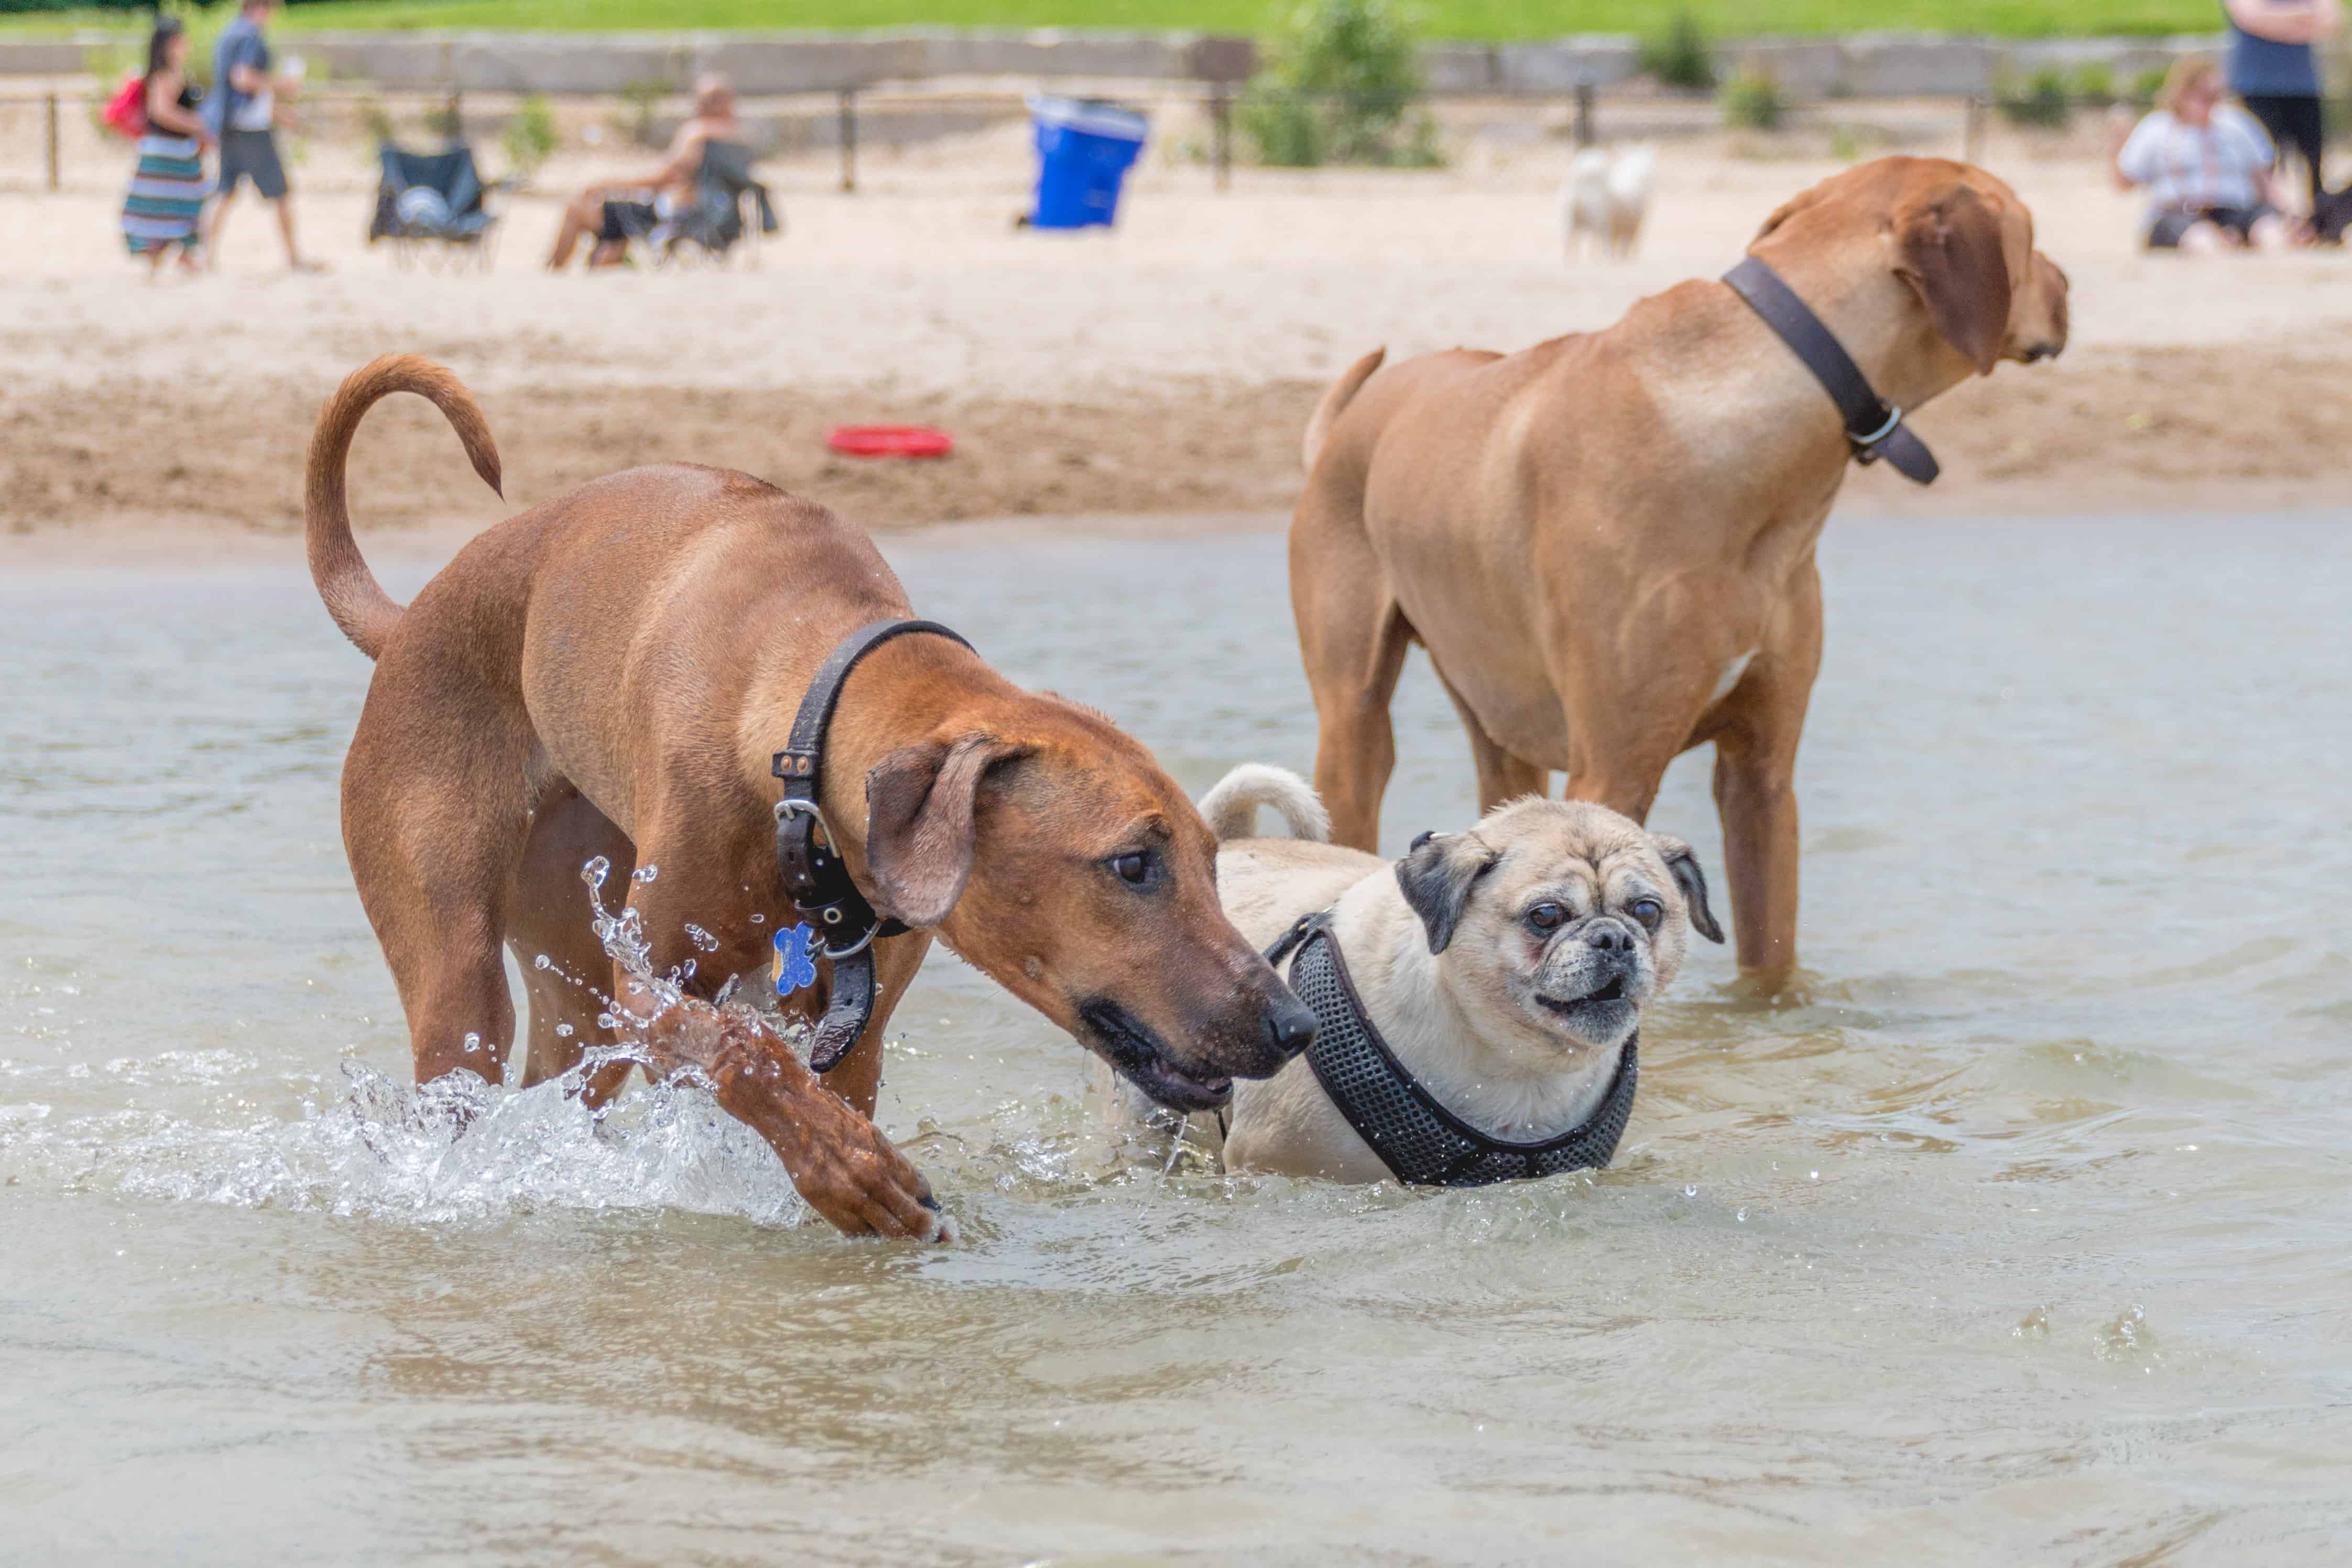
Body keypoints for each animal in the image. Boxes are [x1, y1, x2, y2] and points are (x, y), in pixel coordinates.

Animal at [303, 355, 1317, 1241]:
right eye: (1132, 864)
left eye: (1213, 863)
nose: (1296, 1023)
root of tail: (407, 622)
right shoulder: (649, 987)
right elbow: (744, 1054)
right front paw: (852, 1174)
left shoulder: (854, 1034)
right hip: (460, 971)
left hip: (572, 985)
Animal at [1279, 150, 2070, 983]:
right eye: (2031, 233)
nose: (2068, 286)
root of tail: (1347, 422)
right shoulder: (1613, 770)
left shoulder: (1763, 775)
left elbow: (1770, 957)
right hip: (1354, 720)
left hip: (1494, 714)